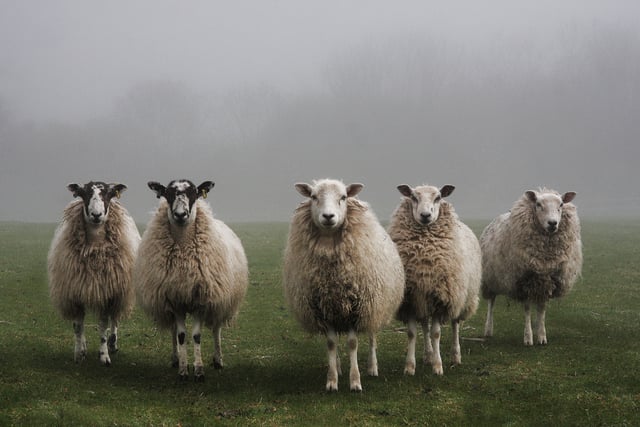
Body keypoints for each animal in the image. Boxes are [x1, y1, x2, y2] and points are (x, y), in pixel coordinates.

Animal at [48, 181, 140, 366]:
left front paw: (104, 355)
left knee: (115, 319)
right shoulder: (75, 292)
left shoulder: (107, 292)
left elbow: (103, 325)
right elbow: (77, 326)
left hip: (120, 291)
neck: (94, 247)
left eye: (108, 194)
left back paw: (113, 343)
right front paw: (78, 353)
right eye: (84, 194)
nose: (96, 215)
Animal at [134, 179, 248, 381]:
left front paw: (199, 370)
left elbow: (196, 336)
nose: (180, 215)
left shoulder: (201, 300)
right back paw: (175, 359)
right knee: (173, 330)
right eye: (168, 194)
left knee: (216, 328)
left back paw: (218, 360)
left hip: (220, 299)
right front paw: (183, 370)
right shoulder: (175, 300)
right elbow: (181, 335)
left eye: (194, 193)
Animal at [283, 178, 404, 392]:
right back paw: (339, 367)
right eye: (313, 196)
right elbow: (331, 343)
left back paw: (372, 367)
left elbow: (353, 343)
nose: (328, 216)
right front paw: (332, 380)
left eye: (344, 197)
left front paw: (355, 381)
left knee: (372, 336)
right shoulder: (324, 307)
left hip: (374, 304)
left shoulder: (357, 308)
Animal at [388, 184, 482, 376]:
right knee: (425, 325)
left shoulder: (442, 298)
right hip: (423, 300)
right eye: (413, 197)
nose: (425, 215)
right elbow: (412, 333)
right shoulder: (411, 299)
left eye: (438, 197)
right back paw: (428, 355)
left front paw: (438, 367)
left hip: (460, 297)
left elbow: (436, 333)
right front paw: (410, 367)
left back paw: (455, 356)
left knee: (455, 324)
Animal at [480, 188, 582, 346]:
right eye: (538, 204)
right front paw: (528, 338)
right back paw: (488, 330)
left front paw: (541, 336)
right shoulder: (525, 281)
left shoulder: (547, 281)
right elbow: (527, 308)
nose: (552, 223)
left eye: (561, 204)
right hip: (490, 277)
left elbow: (542, 309)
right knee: (491, 302)